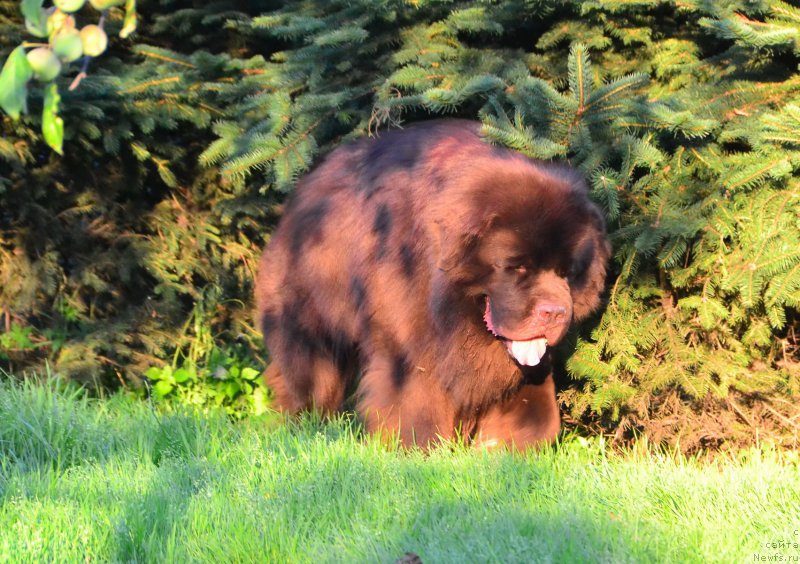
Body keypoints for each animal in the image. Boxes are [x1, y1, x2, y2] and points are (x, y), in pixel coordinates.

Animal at [256, 119, 612, 450]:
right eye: (517, 267)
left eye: (568, 272)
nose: (554, 313)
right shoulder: (411, 348)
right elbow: (415, 403)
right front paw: (419, 451)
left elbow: (537, 412)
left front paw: (502, 448)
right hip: (307, 319)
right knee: (307, 372)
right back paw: (302, 424)